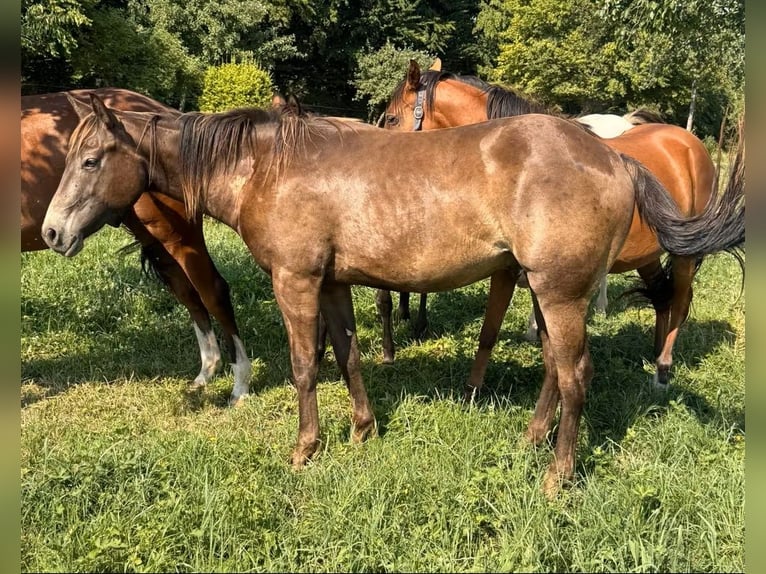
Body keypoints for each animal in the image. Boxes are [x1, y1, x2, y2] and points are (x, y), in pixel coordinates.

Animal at [22, 89, 251, 404]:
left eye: (90, 162)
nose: (52, 232)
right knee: (188, 294)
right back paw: (206, 373)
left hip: (178, 236)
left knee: (211, 292)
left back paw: (239, 384)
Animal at [382, 60, 718, 390]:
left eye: (391, 118)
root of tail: (689, 142)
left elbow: (494, 326)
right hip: (646, 256)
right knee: (662, 296)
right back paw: (654, 355)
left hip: (685, 255)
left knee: (679, 301)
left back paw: (662, 369)